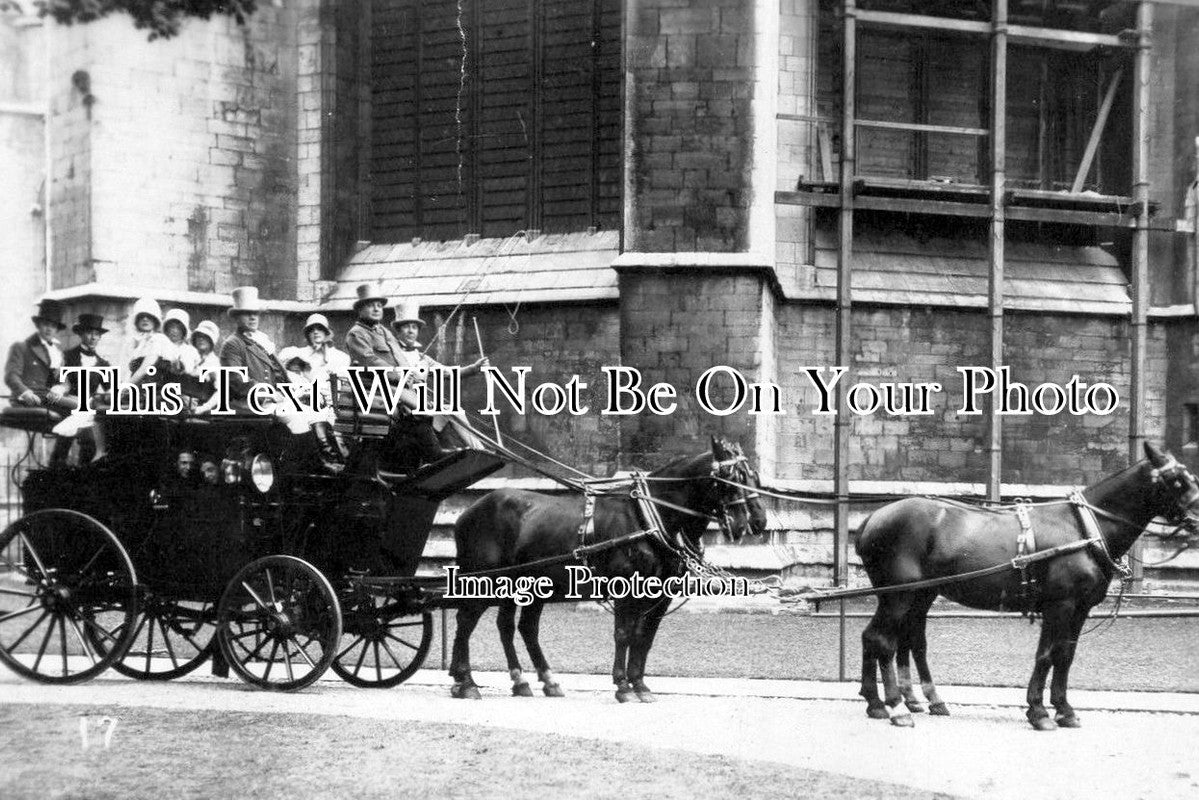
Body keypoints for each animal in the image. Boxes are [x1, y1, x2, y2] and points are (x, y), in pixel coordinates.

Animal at [450, 438, 767, 700]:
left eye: (753, 477)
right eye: (728, 478)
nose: (754, 521)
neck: (648, 517)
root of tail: (468, 513)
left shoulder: (659, 596)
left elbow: (644, 638)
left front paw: (640, 684)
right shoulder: (626, 590)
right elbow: (624, 634)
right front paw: (623, 686)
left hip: (528, 586)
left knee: (516, 626)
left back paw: (529, 681)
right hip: (485, 581)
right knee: (466, 621)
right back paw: (465, 681)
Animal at [853, 443, 1199, 734]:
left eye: (1190, 476)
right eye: (1176, 481)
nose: (1197, 518)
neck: (1084, 528)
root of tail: (872, 518)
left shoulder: (1080, 609)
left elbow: (1065, 655)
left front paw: (1063, 709)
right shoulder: (1060, 605)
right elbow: (1047, 655)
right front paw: (1039, 711)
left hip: (920, 594)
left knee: (899, 640)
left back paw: (882, 702)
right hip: (899, 595)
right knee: (880, 640)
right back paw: (896, 706)